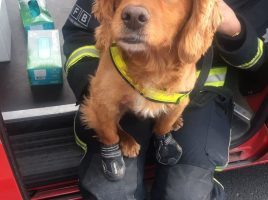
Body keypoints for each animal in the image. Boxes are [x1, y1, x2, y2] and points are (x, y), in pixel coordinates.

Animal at [80, 0, 221, 178]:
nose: (133, 16)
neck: (151, 64)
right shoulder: (102, 102)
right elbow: (109, 133)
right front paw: (113, 159)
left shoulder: (181, 100)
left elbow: (163, 126)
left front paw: (166, 141)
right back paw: (128, 141)